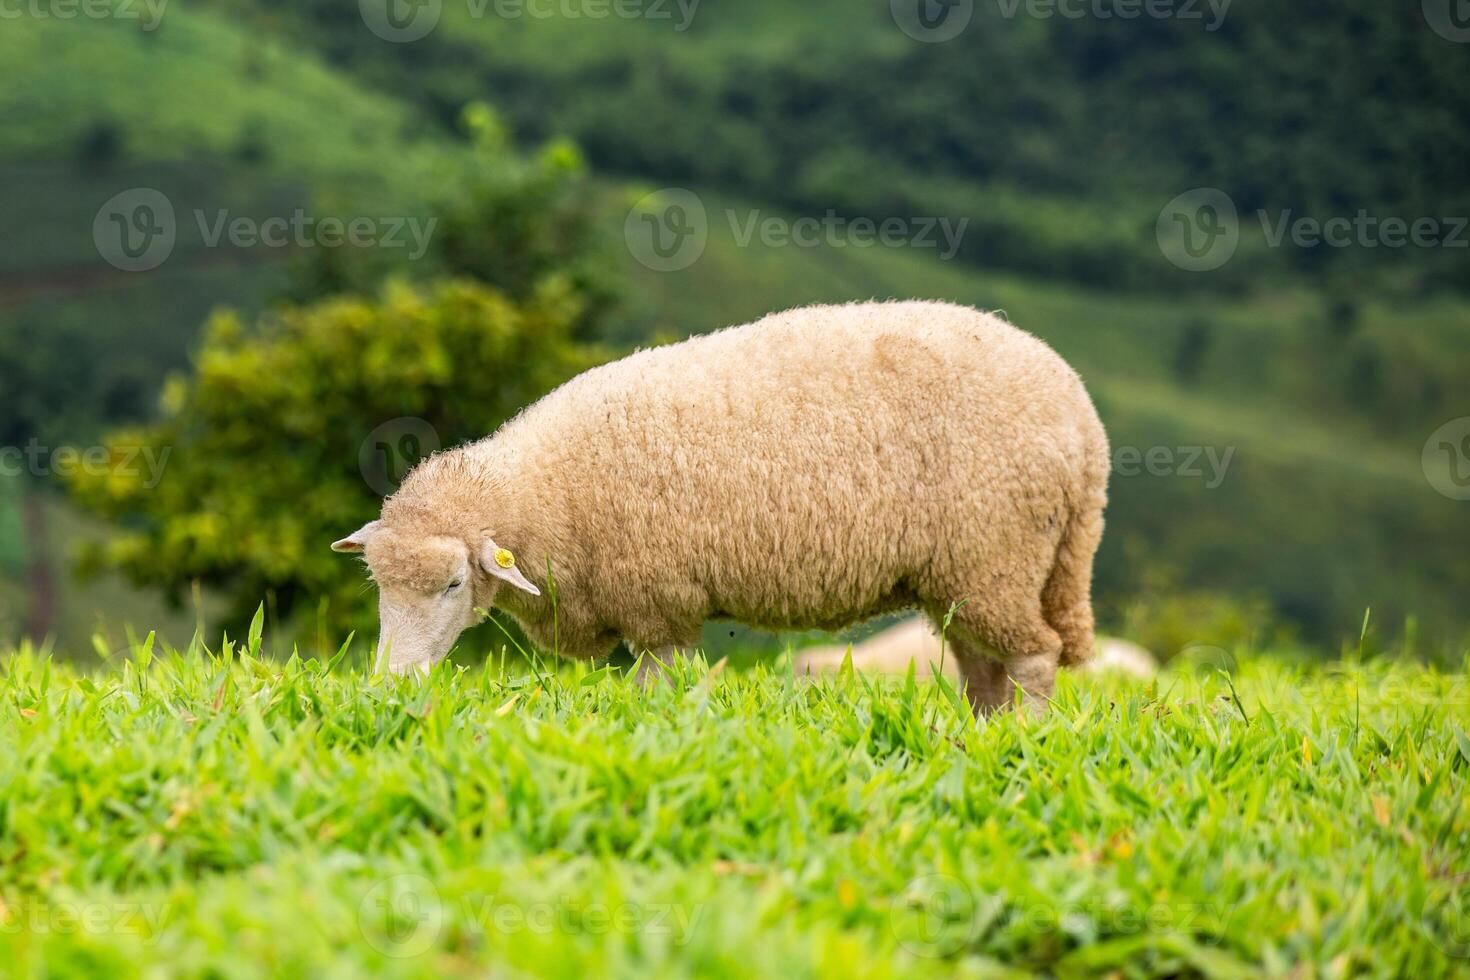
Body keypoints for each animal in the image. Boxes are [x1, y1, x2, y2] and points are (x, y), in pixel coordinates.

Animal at [333, 299, 1105, 714]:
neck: (544, 494)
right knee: (985, 670)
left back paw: (1023, 739)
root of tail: (1080, 415)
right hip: (963, 576)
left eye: (453, 584)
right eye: (378, 585)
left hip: (997, 555)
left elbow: (655, 688)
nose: (390, 685)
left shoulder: (659, 601)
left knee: (1035, 658)